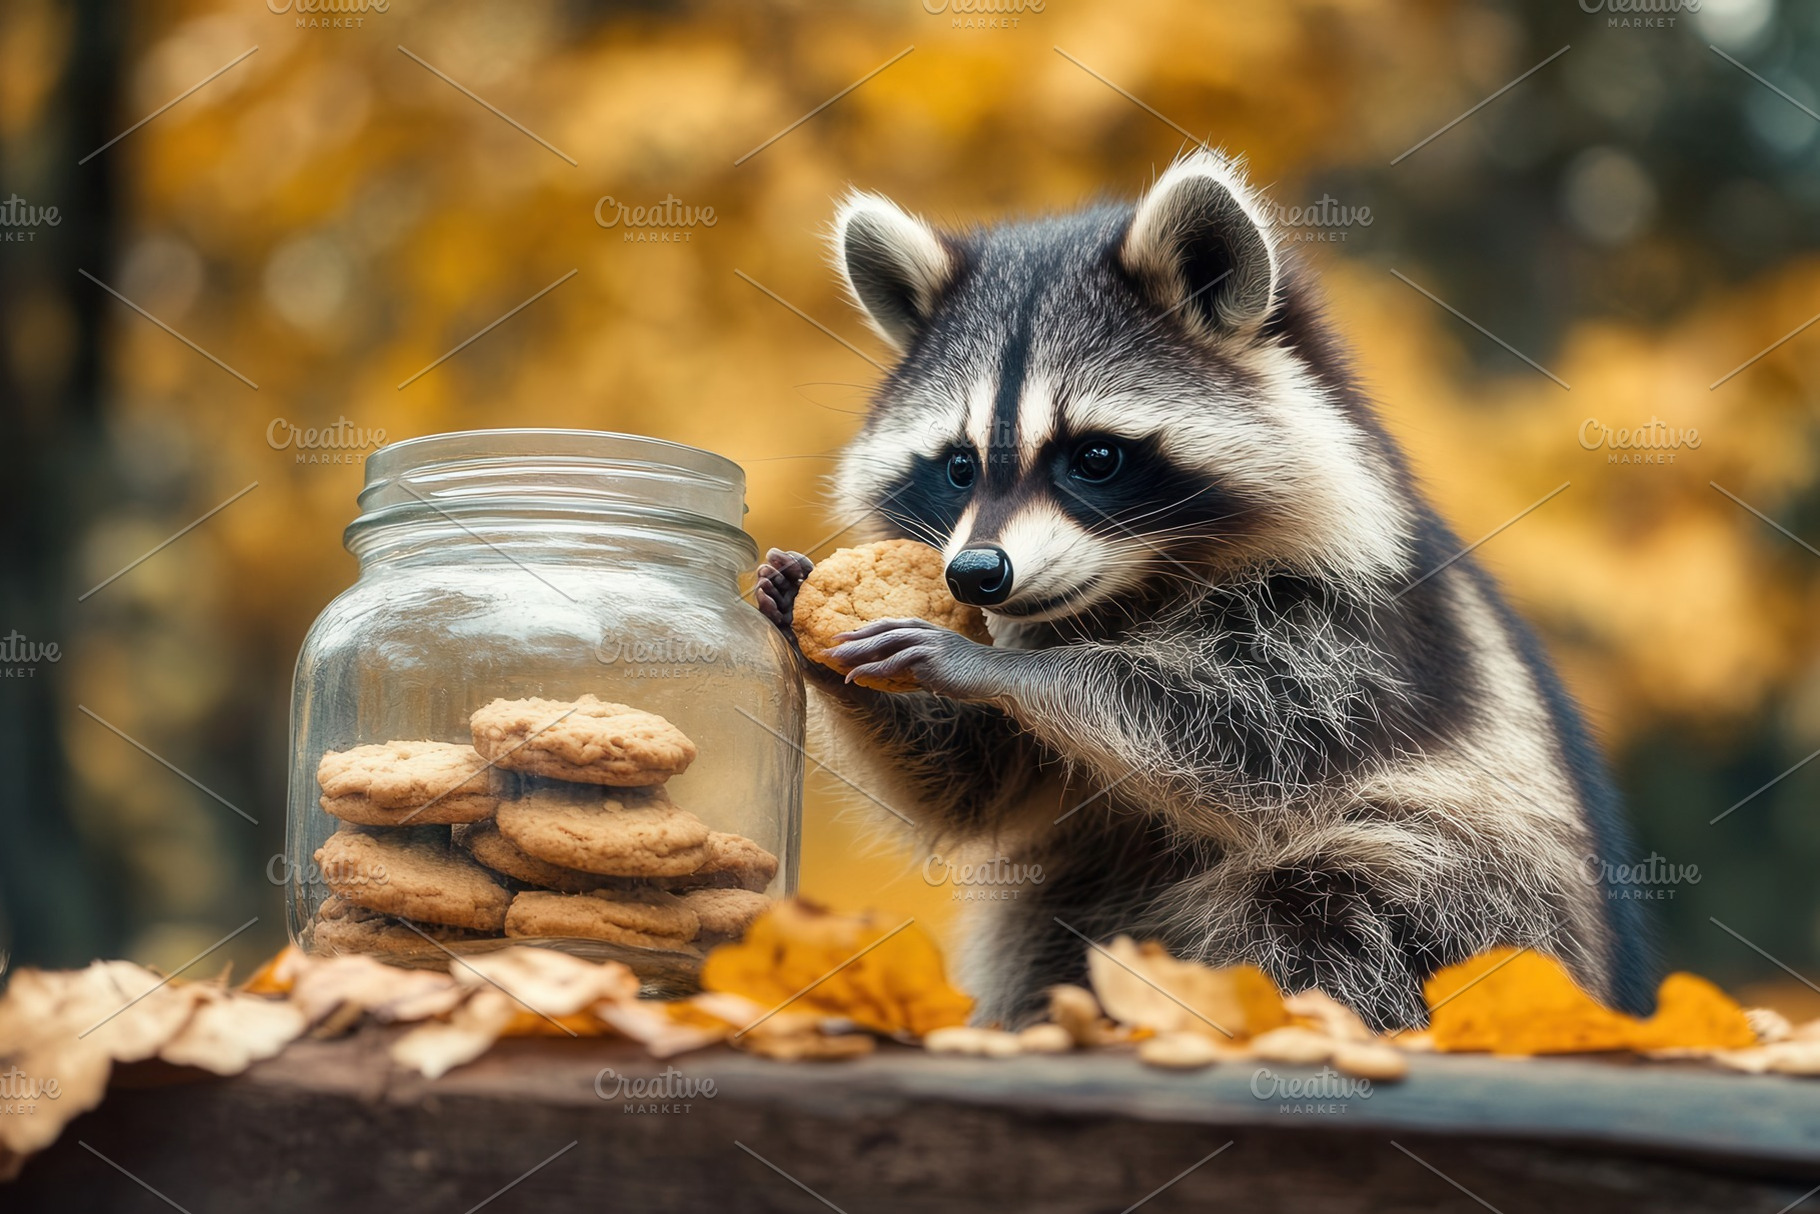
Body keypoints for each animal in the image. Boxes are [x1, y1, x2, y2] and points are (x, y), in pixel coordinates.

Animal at [755, 150, 1656, 1032]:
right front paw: (823, 638)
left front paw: (1002, 670)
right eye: (958, 466)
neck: (1120, 592)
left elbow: (1243, 735)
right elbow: (978, 777)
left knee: (1345, 902)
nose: (976, 574)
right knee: (1045, 918)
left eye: (1095, 457)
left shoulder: (1357, 625)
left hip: (1495, 897)